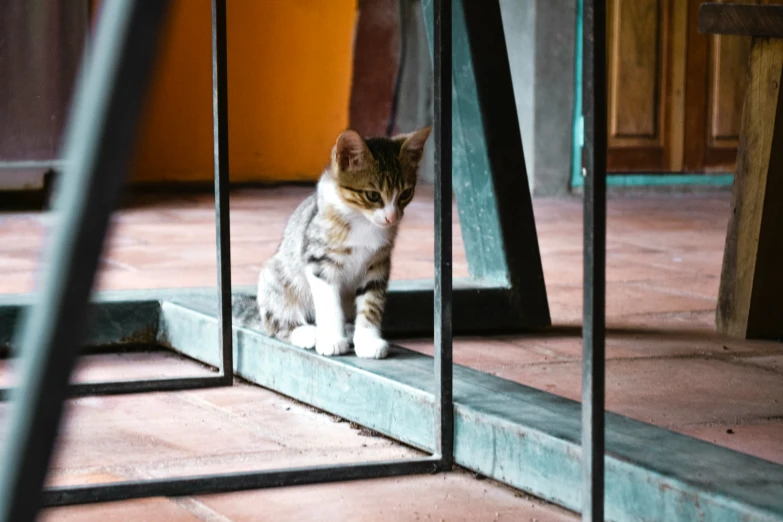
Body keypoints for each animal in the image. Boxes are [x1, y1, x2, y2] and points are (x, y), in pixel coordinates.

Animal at [258, 126, 432, 358]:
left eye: (406, 193)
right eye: (373, 196)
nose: (392, 217)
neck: (363, 222)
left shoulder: (378, 265)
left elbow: (371, 303)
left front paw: (368, 340)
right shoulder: (319, 261)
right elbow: (329, 304)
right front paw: (331, 339)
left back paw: (350, 331)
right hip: (275, 278)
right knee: (275, 323)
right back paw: (308, 333)